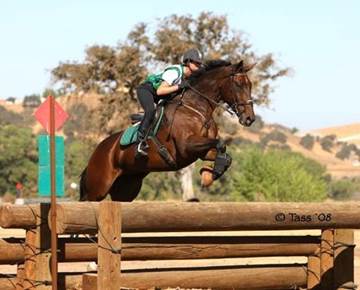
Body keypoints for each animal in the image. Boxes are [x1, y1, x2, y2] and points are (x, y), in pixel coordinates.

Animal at [80, 59, 258, 201]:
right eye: (238, 84)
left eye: (250, 85)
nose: (250, 118)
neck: (195, 108)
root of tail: (98, 150)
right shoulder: (186, 147)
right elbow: (221, 144)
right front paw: (210, 174)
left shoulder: (202, 151)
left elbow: (225, 155)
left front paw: (208, 174)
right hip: (98, 188)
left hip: (127, 187)